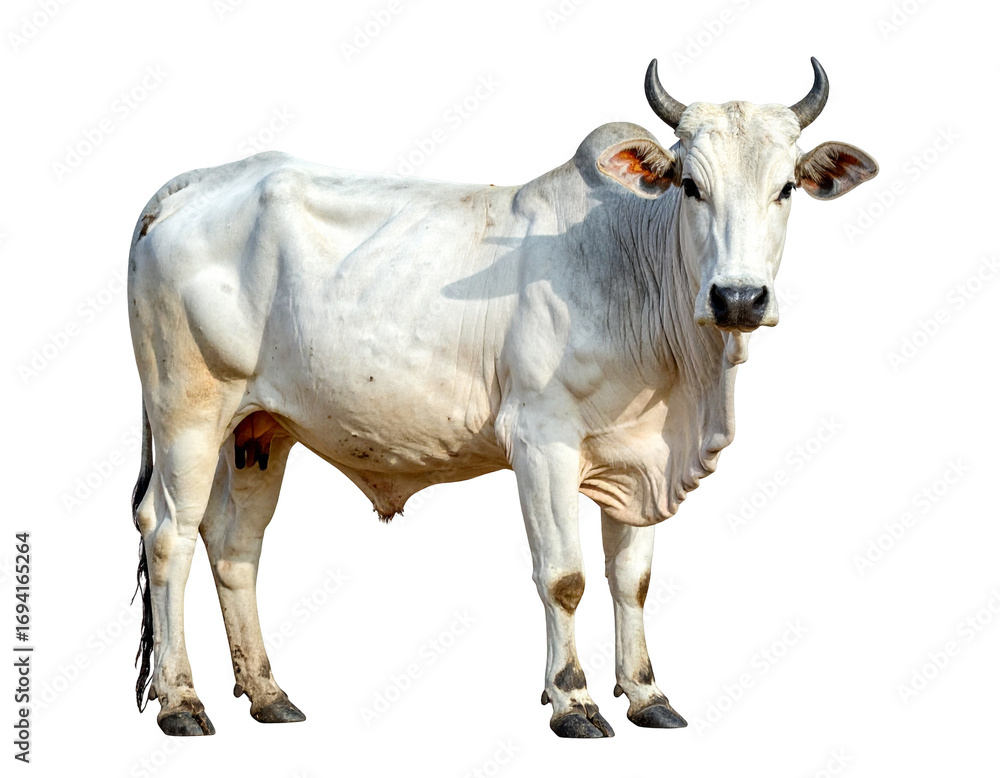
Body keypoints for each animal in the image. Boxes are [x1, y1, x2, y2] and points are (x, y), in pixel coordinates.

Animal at [128, 57, 877, 738]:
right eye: (691, 185)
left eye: (786, 187)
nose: (739, 298)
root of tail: (189, 186)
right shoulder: (541, 440)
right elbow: (565, 576)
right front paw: (573, 700)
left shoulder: (638, 457)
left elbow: (631, 578)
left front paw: (647, 694)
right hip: (187, 416)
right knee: (169, 536)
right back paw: (181, 702)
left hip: (261, 429)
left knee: (235, 545)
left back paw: (268, 693)